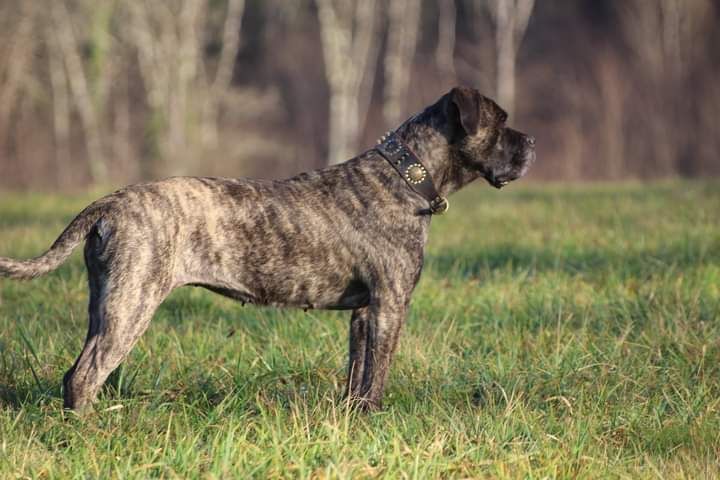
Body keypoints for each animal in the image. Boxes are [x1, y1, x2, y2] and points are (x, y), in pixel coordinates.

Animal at [0, 86, 536, 408]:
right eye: (501, 121)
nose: (531, 142)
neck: (407, 177)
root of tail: (109, 201)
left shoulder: (364, 313)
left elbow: (357, 374)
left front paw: (353, 417)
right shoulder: (390, 305)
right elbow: (377, 374)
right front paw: (375, 416)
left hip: (105, 301)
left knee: (77, 370)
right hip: (132, 304)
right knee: (85, 374)